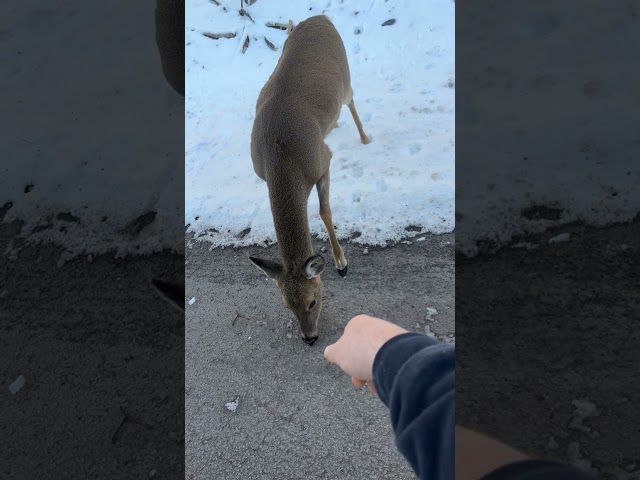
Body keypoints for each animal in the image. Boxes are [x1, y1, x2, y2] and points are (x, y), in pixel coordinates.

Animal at [248, 15, 371, 346]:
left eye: (313, 301)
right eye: (286, 305)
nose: (310, 338)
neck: (281, 159)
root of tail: (320, 17)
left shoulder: (322, 160)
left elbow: (323, 211)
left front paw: (342, 264)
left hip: (345, 75)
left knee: (353, 99)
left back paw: (365, 138)